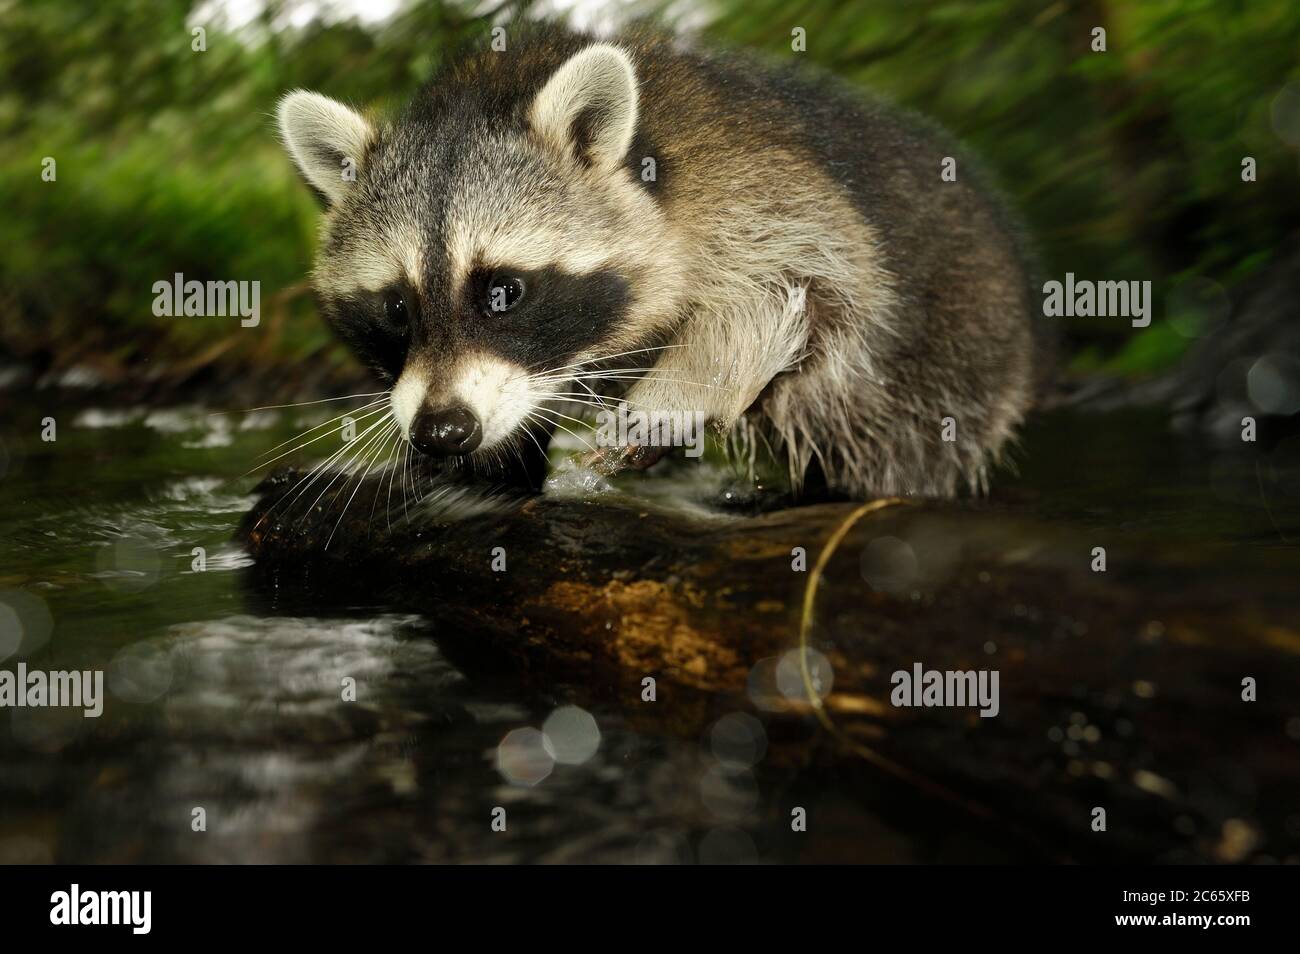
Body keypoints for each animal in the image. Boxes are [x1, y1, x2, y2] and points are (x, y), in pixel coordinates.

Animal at [274, 24, 1045, 501]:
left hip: (955, 362)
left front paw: (662, 406)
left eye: (506, 292)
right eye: (396, 307)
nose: (443, 429)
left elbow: (797, 278)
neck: (492, 86)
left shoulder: (752, 190)